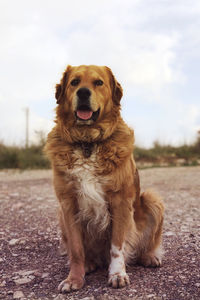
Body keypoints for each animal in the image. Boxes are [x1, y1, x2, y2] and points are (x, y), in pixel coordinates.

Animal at [45, 65, 164, 292]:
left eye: (98, 83)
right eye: (74, 82)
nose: (83, 92)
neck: (87, 142)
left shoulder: (120, 202)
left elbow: (117, 246)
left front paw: (117, 274)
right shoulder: (68, 204)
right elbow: (76, 249)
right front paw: (74, 278)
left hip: (152, 199)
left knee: (148, 244)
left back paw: (149, 257)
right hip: (60, 216)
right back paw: (89, 264)